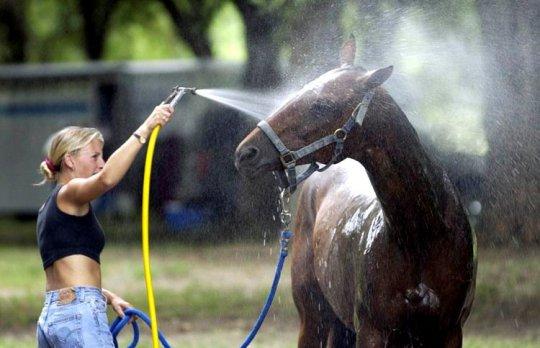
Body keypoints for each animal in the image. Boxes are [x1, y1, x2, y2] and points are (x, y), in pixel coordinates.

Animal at [236, 38, 476, 348]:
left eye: (322, 105)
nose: (245, 153)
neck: (422, 236)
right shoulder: (372, 332)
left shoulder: (449, 333)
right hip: (313, 319)